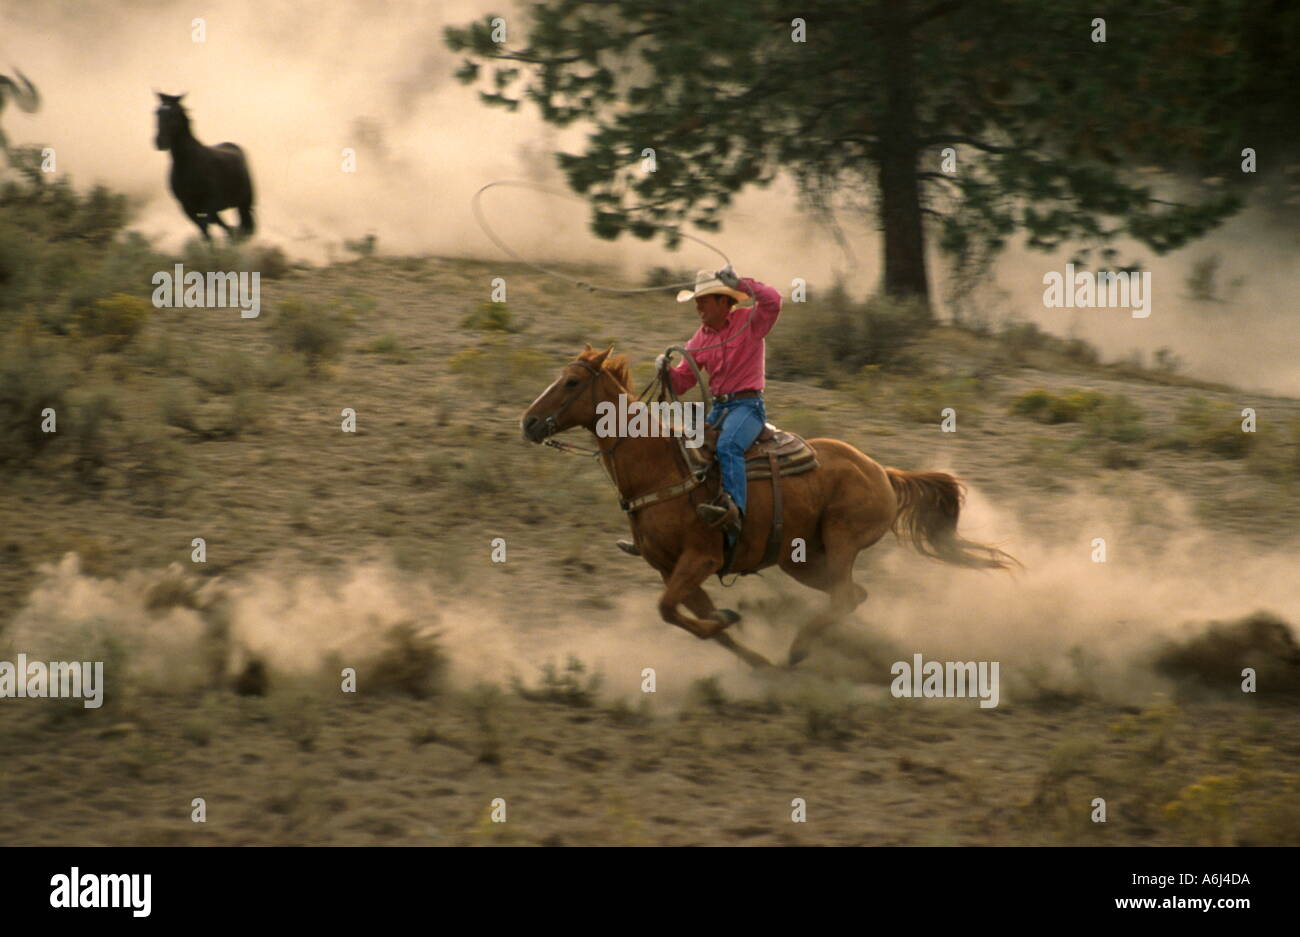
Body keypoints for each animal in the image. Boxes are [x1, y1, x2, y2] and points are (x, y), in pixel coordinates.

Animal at [154, 93, 255, 242]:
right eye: (157, 112)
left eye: (174, 113)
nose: (160, 142)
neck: (189, 164)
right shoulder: (186, 207)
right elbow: (205, 231)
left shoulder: (210, 203)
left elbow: (207, 226)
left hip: (244, 202)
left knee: (242, 223)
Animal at [520, 344, 1018, 669]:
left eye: (572, 382)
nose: (528, 422)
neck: (660, 470)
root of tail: (882, 471)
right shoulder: (669, 569)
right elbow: (691, 616)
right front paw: (746, 647)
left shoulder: (699, 559)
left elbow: (669, 611)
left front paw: (733, 625)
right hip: (802, 559)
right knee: (853, 596)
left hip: (841, 540)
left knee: (845, 596)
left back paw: (799, 648)